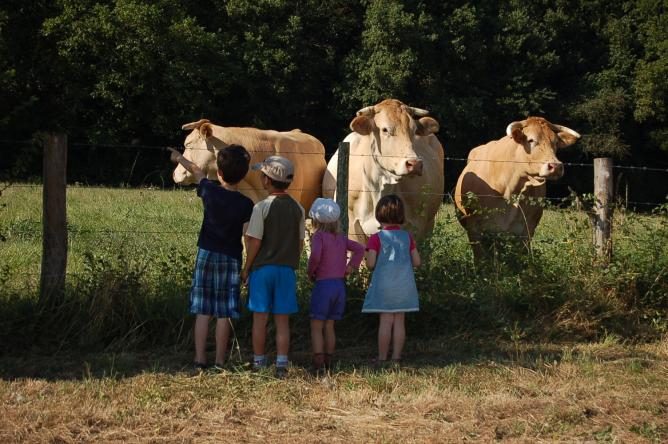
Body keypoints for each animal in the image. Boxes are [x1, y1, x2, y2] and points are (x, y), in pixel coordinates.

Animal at [322, 99, 445, 243]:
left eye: (414, 130)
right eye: (385, 129)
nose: (414, 164)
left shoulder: (417, 226)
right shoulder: (352, 226)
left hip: (429, 224)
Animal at [454, 116, 581, 263]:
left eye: (554, 142)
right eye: (530, 140)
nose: (556, 166)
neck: (510, 192)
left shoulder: (526, 231)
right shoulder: (475, 228)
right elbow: (481, 260)